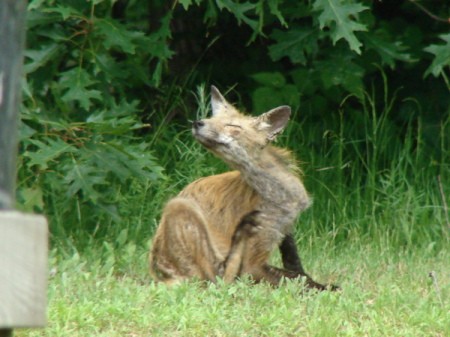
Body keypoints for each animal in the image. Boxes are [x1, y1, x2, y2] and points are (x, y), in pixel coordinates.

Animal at [151, 84, 338, 288]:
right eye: (211, 119)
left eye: (232, 126)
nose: (197, 122)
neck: (281, 197)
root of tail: (158, 272)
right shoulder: (253, 262)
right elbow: (294, 279)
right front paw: (326, 289)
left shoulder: (286, 229)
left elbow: (297, 269)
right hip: (179, 207)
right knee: (218, 279)